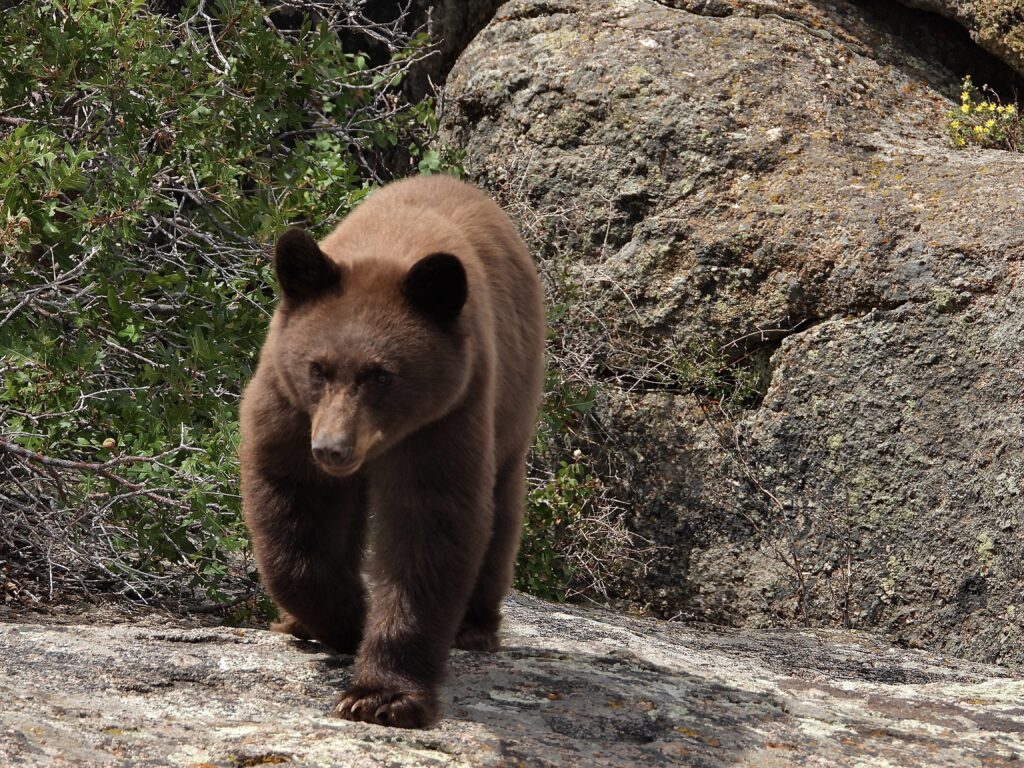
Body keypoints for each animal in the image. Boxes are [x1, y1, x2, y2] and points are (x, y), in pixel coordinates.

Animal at [237, 176, 544, 733]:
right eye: (317, 368)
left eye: (381, 374)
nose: (332, 449)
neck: (389, 247)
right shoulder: (288, 403)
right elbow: (294, 511)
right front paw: (342, 618)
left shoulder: (448, 415)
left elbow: (429, 528)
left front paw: (382, 696)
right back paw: (296, 622)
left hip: (513, 398)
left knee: (502, 505)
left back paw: (475, 626)